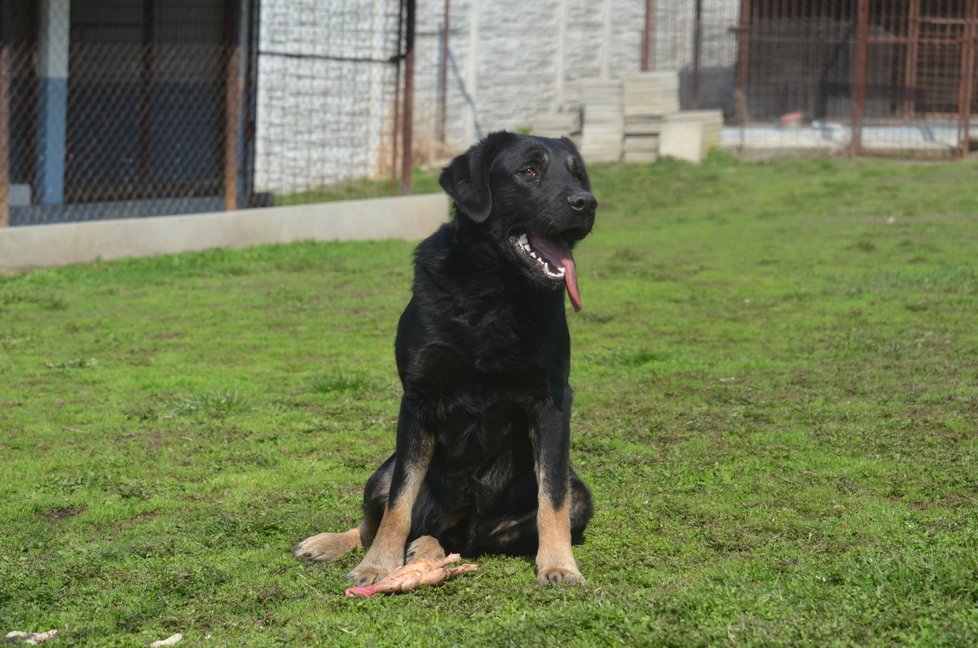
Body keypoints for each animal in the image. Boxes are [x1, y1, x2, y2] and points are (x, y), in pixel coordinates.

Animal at [292, 132, 596, 588]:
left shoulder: (553, 401)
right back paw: (335, 544)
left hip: (578, 497)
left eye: (577, 175)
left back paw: (428, 548)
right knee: (377, 520)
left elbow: (552, 498)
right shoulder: (418, 400)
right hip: (382, 470)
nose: (587, 202)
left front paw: (559, 564)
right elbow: (398, 504)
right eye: (529, 171)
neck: (495, 291)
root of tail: (463, 524)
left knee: (464, 536)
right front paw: (378, 565)